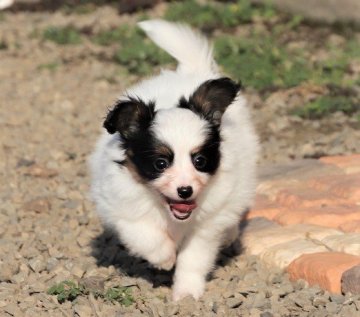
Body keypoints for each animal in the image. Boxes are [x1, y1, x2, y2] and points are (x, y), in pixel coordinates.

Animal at [89, 18, 258, 300]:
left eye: (200, 161)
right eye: (161, 163)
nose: (185, 191)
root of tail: (191, 73)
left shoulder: (205, 226)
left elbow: (194, 258)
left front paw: (187, 295)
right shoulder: (119, 206)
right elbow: (145, 234)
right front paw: (165, 259)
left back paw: (230, 234)